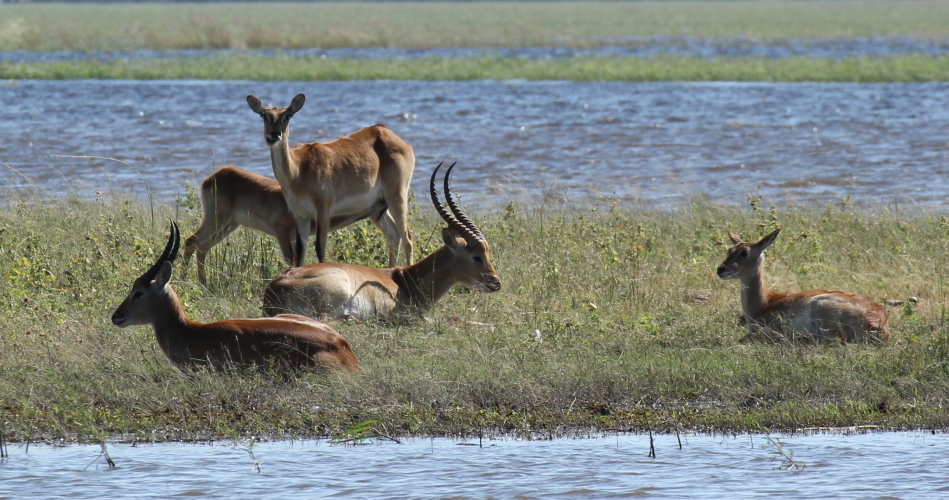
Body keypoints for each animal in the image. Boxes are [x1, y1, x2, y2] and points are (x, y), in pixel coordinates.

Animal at [246, 92, 412, 268]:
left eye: (288, 116)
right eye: (264, 115)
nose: (274, 134)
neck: (297, 171)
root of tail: (387, 132)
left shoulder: (323, 210)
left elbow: (320, 248)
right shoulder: (301, 215)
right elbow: (301, 251)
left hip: (397, 196)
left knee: (407, 237)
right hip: (377, 207)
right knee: (394, 235)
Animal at [720, 229, 888, 344]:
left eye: (744, 252)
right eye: (730, 250)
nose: (720, 269)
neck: (764, 304)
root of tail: (879, 320)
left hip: (820, 306)